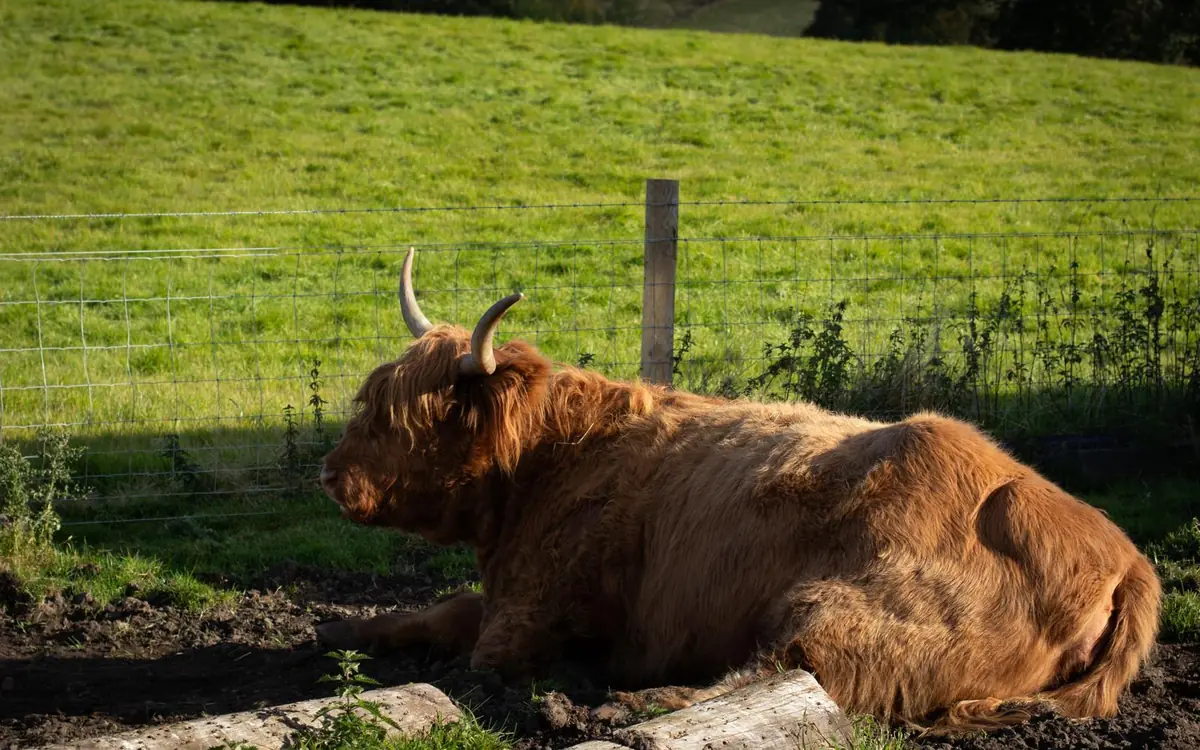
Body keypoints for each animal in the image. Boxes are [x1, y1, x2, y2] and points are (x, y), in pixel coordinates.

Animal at [314, 247, 1161, 733]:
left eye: (403, 415)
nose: (330, 476)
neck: (549, 461)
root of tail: (1126, 558)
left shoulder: (527, 618)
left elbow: (468, 651)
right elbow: (430, 612)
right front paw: (339, 631)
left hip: (847, 616)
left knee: (785, 679)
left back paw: (608, 708)